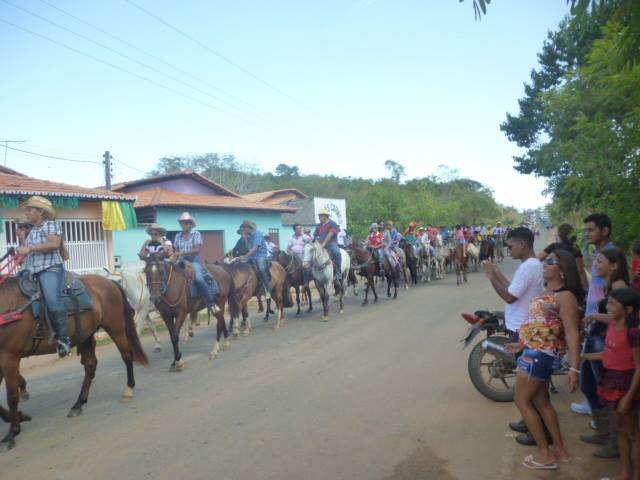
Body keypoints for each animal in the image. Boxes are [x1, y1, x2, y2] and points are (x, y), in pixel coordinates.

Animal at [0, 274, 148, 452]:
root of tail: (108, 281)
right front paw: (19, 417)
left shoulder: (9, 356)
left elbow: (11, 396)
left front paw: (12, 432)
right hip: (86, 335)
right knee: (90, 366)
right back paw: (78, 404)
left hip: (115, 327)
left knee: (126, 355)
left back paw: (128, 389)